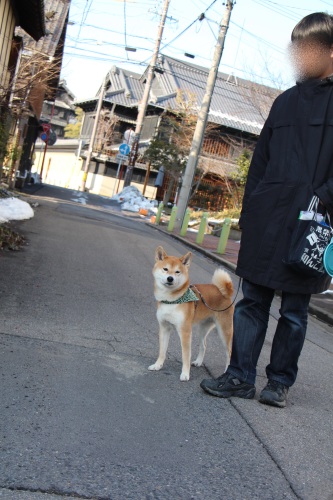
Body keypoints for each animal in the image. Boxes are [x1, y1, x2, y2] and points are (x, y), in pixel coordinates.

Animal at [148, 244, 233, 380]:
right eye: (165, 269)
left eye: (177, 272)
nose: (170, 278)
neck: (172, 301)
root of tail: (225, 292)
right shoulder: (164, 328)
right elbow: (162, 351)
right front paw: (157, 365)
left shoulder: (185, 331)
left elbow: (185, 355)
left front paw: (185, 374)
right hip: (203, 328)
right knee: (204, 345)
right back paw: (198, 362)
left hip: (224, 330)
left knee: (229, 352)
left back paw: (226, 372)